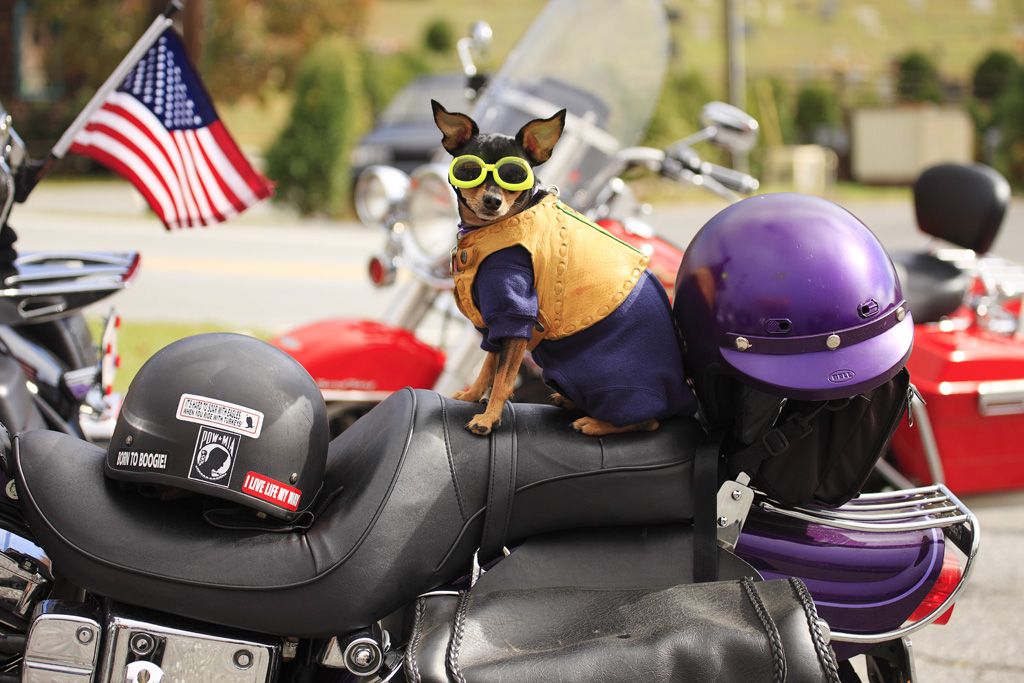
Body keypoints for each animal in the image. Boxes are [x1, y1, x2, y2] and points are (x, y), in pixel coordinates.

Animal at [432, 98, 696, 436]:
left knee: (649, 420)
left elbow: (503, 378)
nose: (492, 200)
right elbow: (489, 364)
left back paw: (595, 423)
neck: (496, 228)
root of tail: (682, 398)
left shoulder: (516, 315)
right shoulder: (497, 320)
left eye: (514, 175)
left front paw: (488, 419)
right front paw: (471, 395)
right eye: (469, 170)